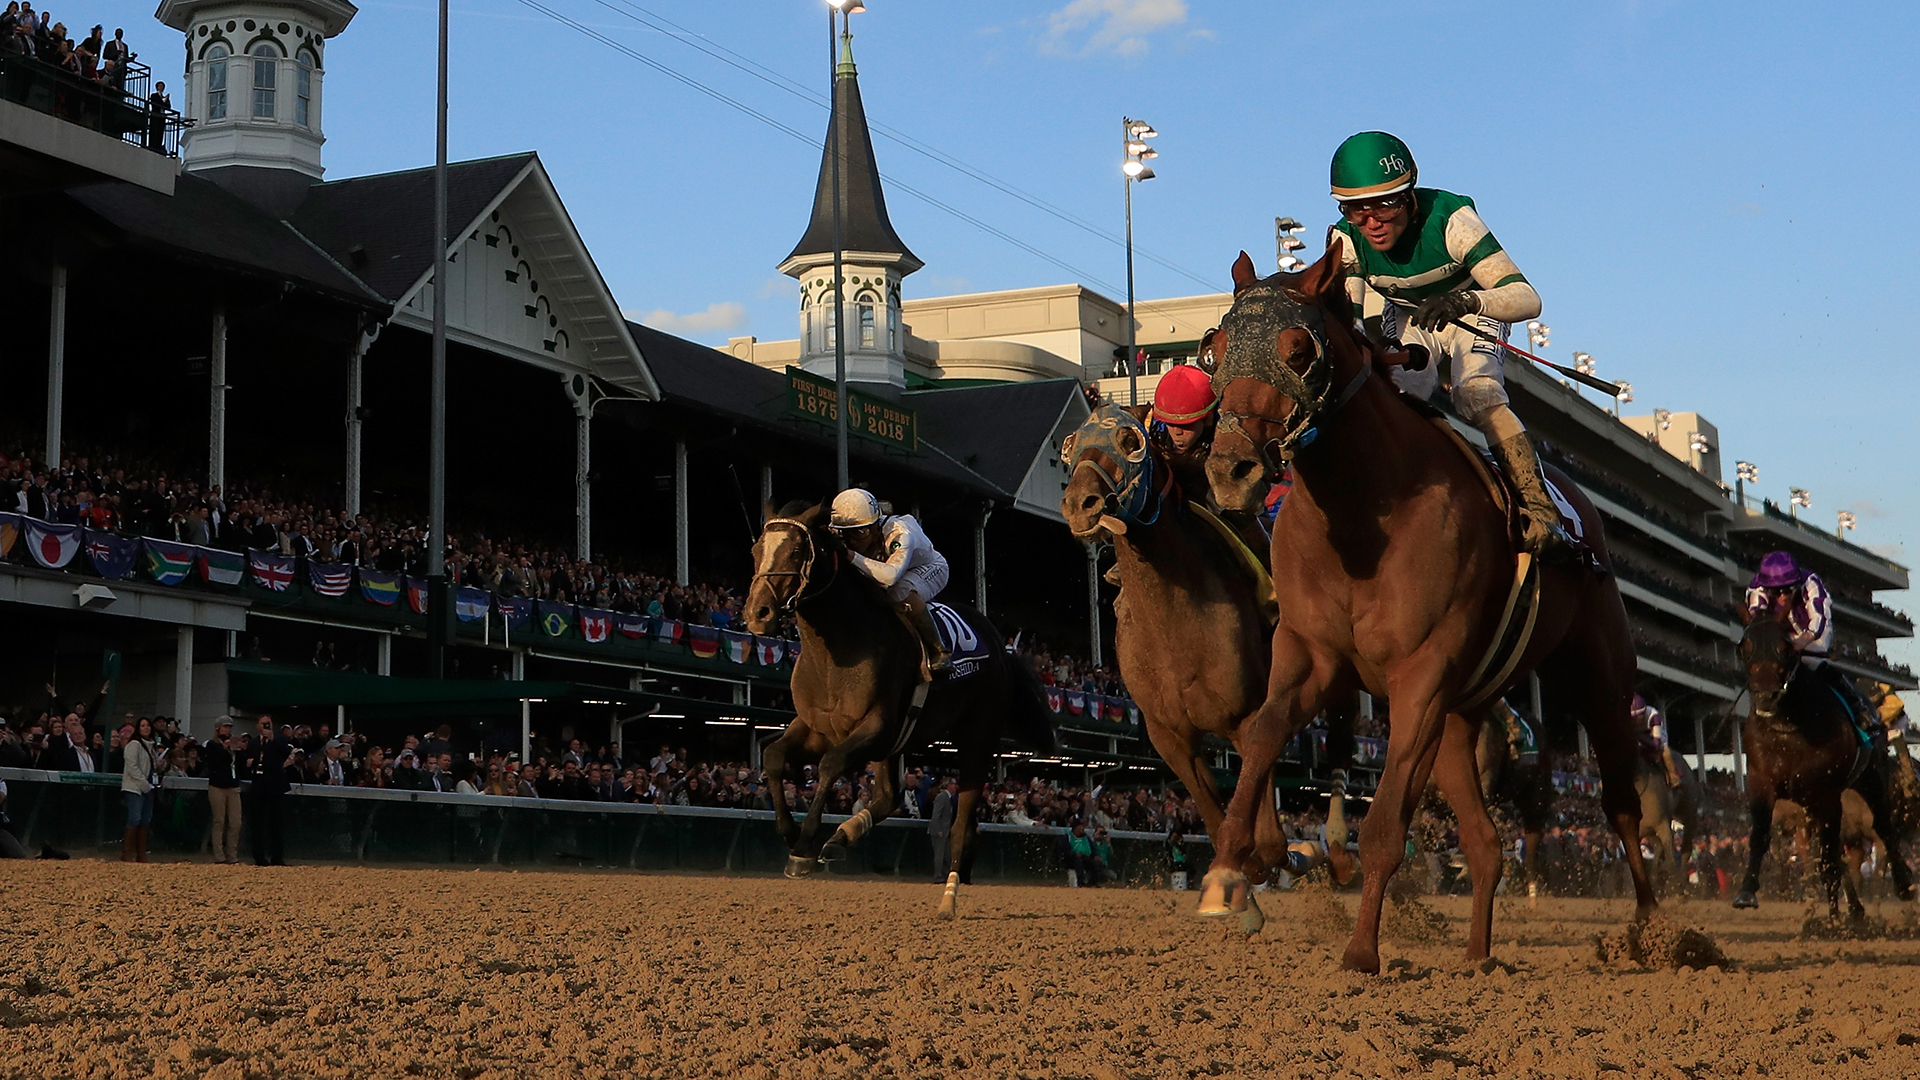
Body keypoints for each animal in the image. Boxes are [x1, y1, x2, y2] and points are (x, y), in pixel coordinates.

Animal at [741, 499, 1059, 914]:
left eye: (796, 551)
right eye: (756, 550)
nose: (756, 614)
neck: (835, 651)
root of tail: (998, 643)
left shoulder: (876, 727)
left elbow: (829, 765)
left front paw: (804, 846)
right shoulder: (819, 728)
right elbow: (775, 756)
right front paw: (790, 832)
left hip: (978, 737)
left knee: (962, 823)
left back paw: (949, 898)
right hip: (895, 747)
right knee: (889, 797)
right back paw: (841, 837)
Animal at [1052, 401, 1367, 926]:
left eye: (1130, 441)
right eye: (1071, 444)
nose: (1081, 503)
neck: (1173, 625)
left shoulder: (1247, 717)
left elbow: (1269, 833)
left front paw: (1288, 858)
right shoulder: (1168, 735)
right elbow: (1214, 812)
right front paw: (1241, 889)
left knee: (1343, 741)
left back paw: (1340, 854)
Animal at [1198, 247, 1651, 972]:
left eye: (1298, 349)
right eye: (1213, 349)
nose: (1229, 471)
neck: (1362, 509)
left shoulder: (1421, 671)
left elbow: (1385, 821)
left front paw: (1361, 952)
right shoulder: (1311, 652)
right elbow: (1263, 733)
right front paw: (1226, 873)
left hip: (1599, 678)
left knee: (1621, 803)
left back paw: (1652, 931)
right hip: (1462, 716)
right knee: (1486, 842)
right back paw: (1479, 956)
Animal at [1735, 614, 1912, 914]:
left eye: (1785, 647)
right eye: (1746, 645)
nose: (1766, 696)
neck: (1788, 728)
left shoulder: (1825, 795)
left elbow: (1830, 861)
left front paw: (1835, 918)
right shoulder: (1762, 782)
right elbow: (1760, 834)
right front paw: (1747, 891)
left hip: (1871, 778)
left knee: (1884, 827)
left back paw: (1902, 884)